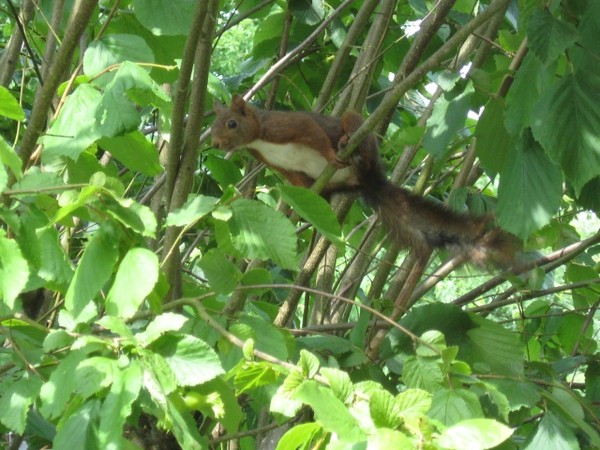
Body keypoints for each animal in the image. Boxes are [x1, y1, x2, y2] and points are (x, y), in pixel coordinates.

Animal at [211, 92, 520, 266]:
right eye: (212, 128)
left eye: (231, 123)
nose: (216, 144)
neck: (257, 138)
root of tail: (368, 181)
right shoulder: (280, 166)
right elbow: (301, 185)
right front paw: (300, 206)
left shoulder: (286, 126)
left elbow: (313, 131)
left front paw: (332, 153)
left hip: (360, 132)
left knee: (356, 135)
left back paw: (351, 146)